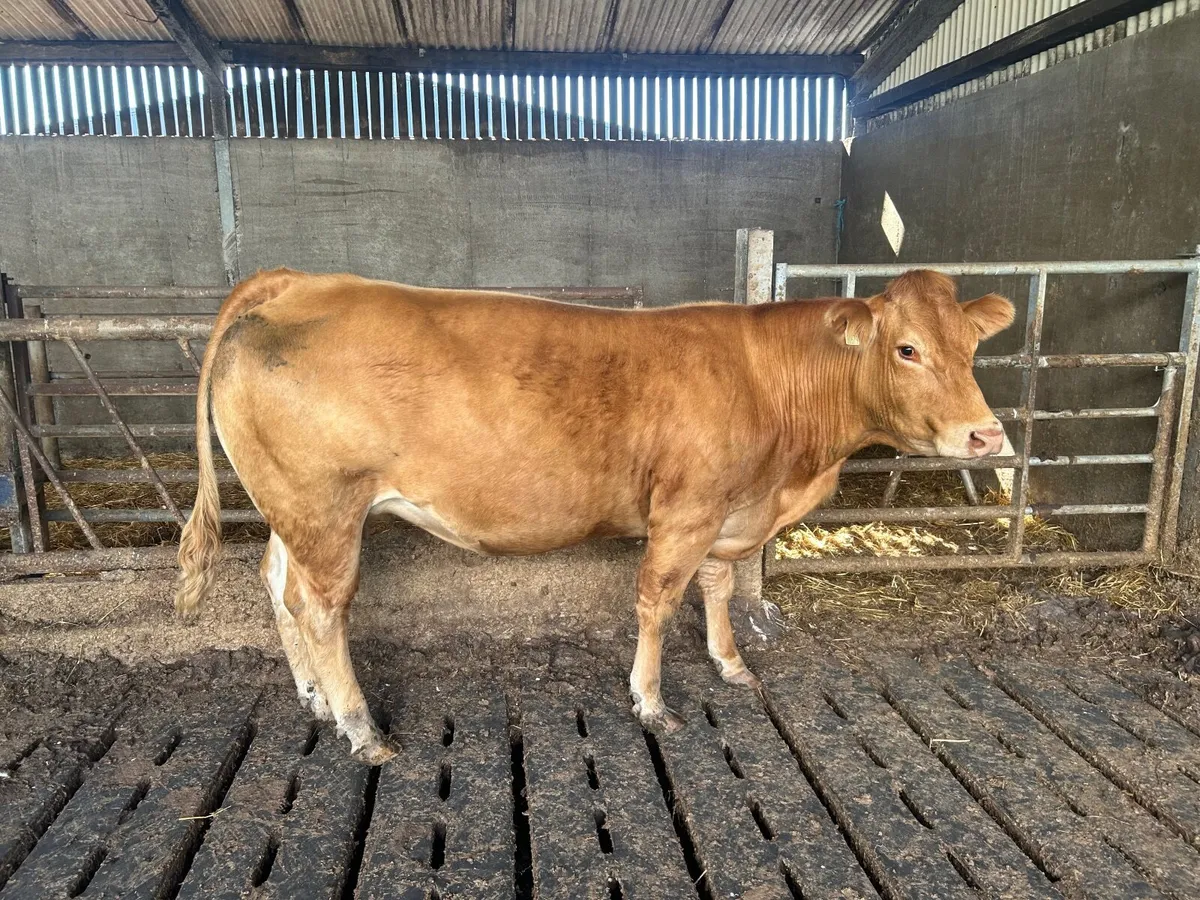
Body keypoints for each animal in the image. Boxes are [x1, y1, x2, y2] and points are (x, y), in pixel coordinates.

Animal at [176, 268, 1014, 765]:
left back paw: (314, 698)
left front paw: (730, 663)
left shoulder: (727, 513)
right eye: (907, 349)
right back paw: (360, 728)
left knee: (276, 585)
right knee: (320, 608)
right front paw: (651, 703)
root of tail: (298, 283)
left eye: (972, 347)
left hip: (292, 509)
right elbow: (659, 600)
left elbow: (716, 588)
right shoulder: (686, 509)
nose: (985, 435)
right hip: (325, 507)